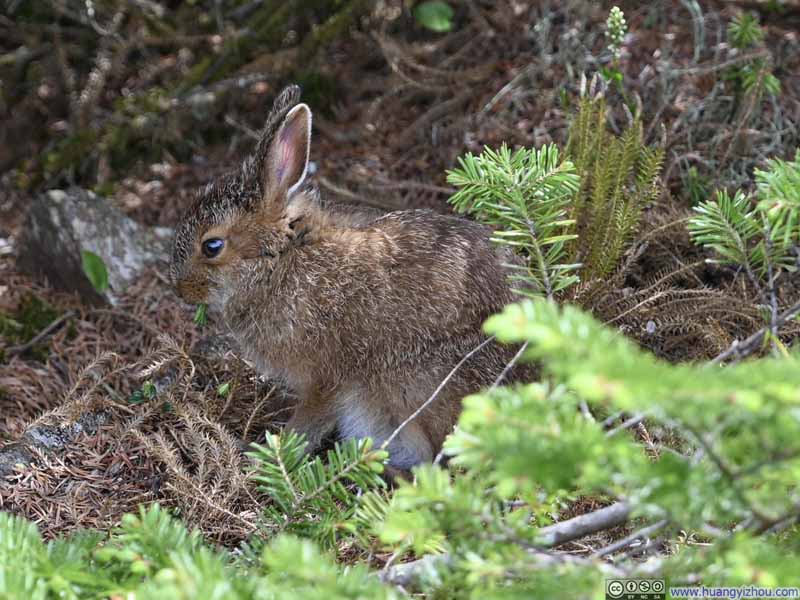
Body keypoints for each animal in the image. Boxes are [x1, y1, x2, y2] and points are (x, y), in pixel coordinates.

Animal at [172, 84, 528, 472]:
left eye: (212, 246)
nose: (180, 289)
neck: (280, 259)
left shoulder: (325, 378)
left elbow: (307, 423)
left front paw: (268, 456)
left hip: (410, 386)